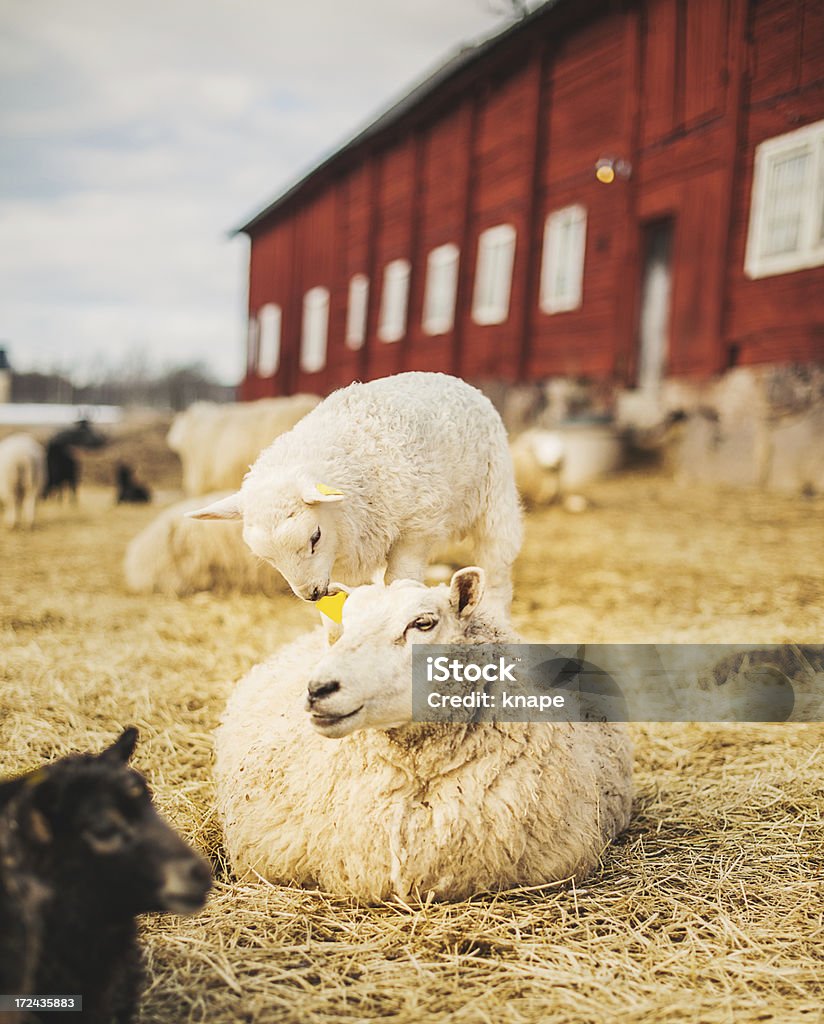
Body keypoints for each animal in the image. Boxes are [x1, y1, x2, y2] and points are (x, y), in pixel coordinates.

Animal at [189, 372, 519, 610]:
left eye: (315, 537)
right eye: (267, 558)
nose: (311, 594)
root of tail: (454, 380)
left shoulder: (416, 528)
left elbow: (401, 577)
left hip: (495, 498)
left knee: (497, 568)